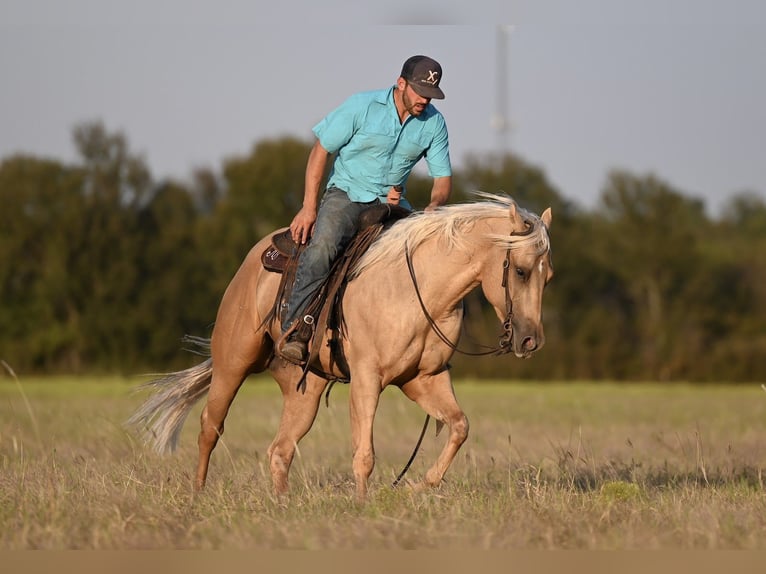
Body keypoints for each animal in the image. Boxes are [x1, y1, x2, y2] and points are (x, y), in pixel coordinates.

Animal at [129, 194, 556, 500]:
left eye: (548, 276)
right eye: (520, 271)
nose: (530, 340)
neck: (417, 287)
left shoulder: (424, 379)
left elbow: (459, 426)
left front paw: (417, 485)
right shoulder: (368, 378)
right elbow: (364, 453)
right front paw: (363, 505)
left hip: (305, 390)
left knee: (280, 449)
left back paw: (281, 504)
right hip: (233, 362)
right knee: (210, 427)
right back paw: (198, 494)